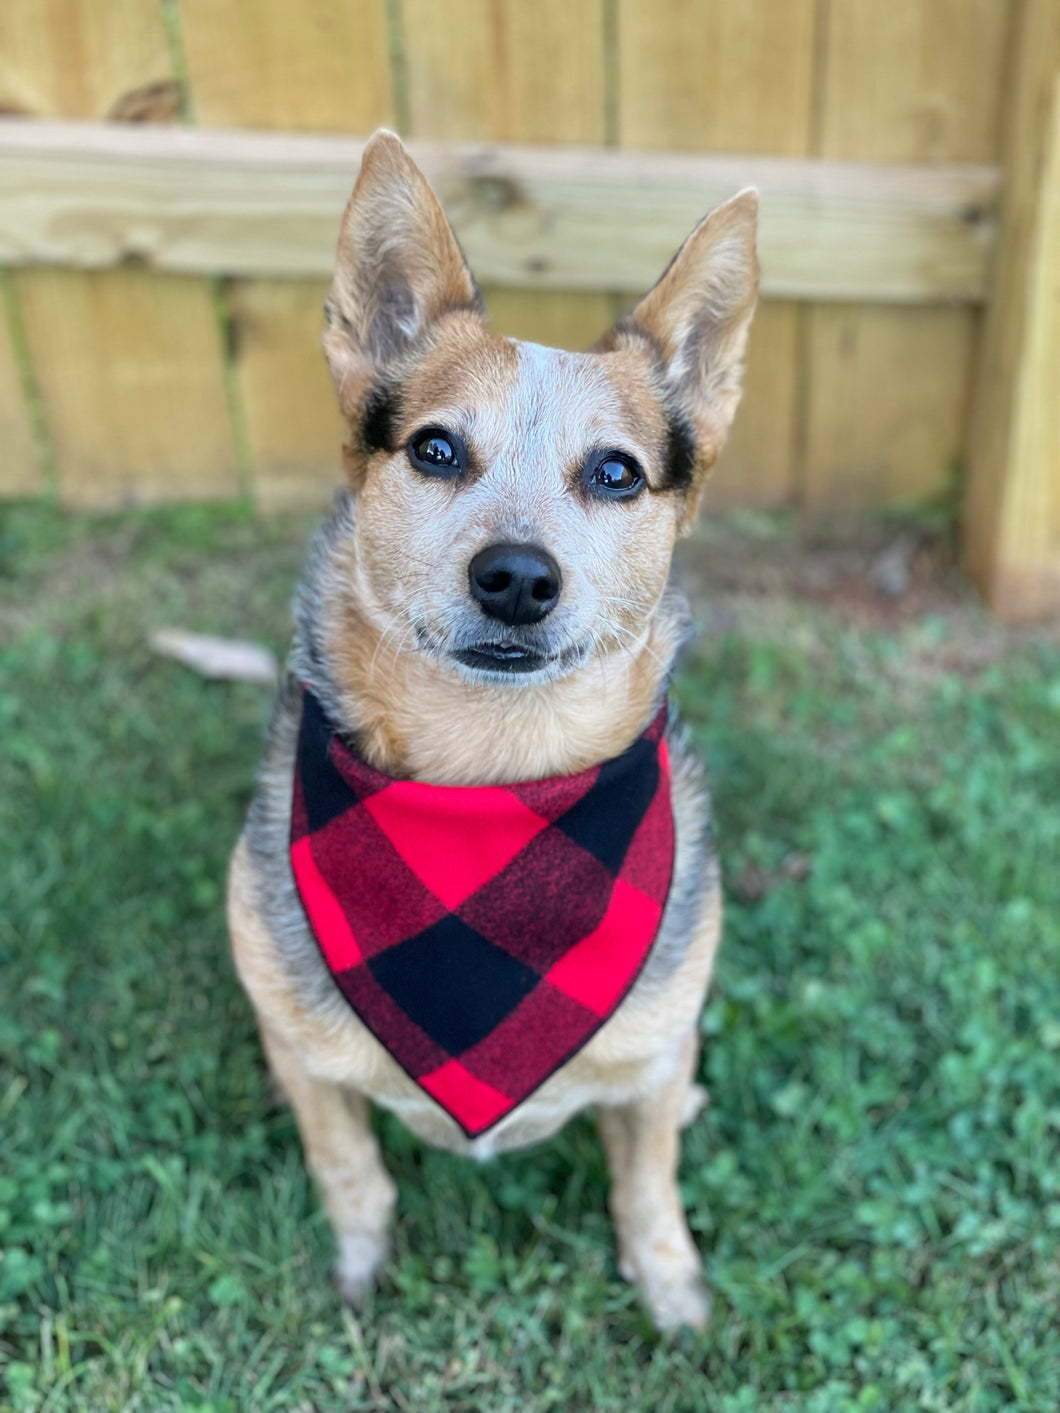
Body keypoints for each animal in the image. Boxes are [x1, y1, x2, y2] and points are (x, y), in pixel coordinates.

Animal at [226, 127, 757, 1328]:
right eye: (433, 450)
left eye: (615, 472)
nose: (516, 576)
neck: (492, 787)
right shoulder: (304, 1050)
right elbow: (347, 1163)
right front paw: (359, 1264)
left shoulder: (653, 1051)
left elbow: (647, 1180)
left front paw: (671, 1288)